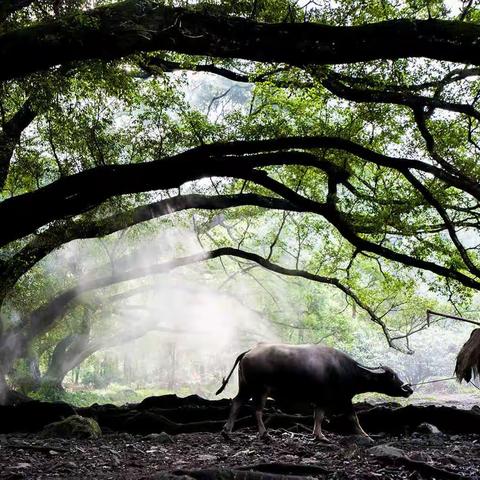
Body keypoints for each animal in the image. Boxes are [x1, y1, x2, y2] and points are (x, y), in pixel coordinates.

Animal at [215, 344, 412, 440]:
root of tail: (249, 352)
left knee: (236, 402)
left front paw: (317, 435)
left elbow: (318, 416)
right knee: (257, 410)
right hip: (260, 390)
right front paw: (366, 436)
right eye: (392, 376)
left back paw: (227, 430)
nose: (408, 388)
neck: (347, 371)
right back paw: (264, 434)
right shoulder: (341, 399)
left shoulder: (322, 400)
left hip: (246, 388)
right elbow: (352, 418)